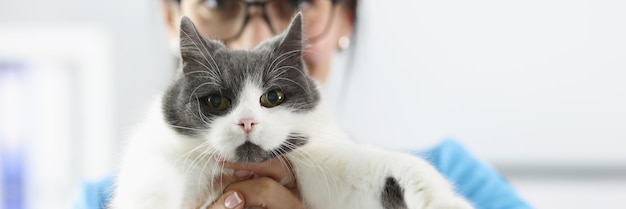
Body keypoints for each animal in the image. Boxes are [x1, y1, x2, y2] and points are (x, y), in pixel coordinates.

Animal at [111, 14, 472, 209]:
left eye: (272, 97)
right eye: (216, 102)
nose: (247, 122)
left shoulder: (321, 167)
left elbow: (398, 169)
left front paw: (443, 201)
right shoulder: (159, 166)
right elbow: (151, 194)